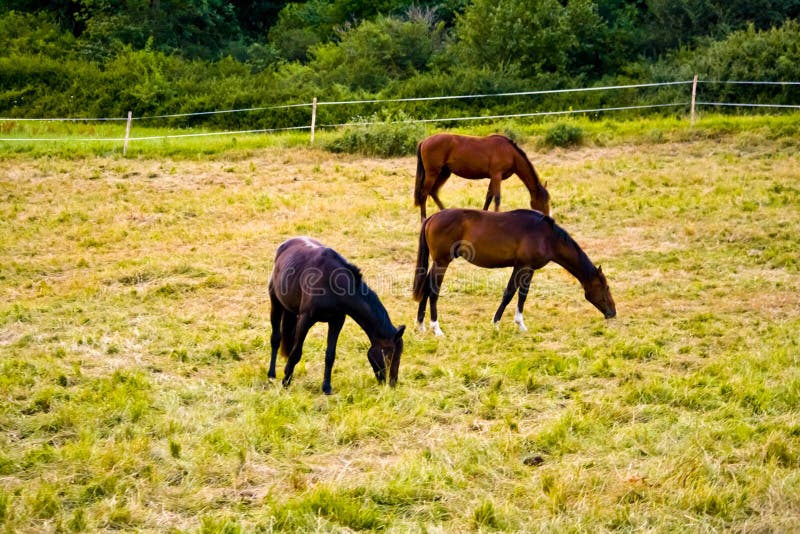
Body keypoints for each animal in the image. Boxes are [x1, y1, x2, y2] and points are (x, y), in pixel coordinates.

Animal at [269, 237, 405, 394]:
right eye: (390, 354)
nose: (392, 384)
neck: (333, 284)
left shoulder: (337, 321)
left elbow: (330, 355)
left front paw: (326, 387)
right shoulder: (306, 319)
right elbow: (296, 352)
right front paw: (285, 382)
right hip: (276, 304)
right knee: (275, 339)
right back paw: (271, 374)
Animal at [412, 209, 615, 336]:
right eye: (605, 288)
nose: (612, 312)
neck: (547, 236)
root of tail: (432, 217)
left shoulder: (527, 268)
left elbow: (519, 295)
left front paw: (518, 324)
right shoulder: (523, 267)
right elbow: (511, 293)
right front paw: (497, 324)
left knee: (426, 288)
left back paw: (421, 325)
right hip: (442, 263)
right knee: (433, 292)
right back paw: (436, 328)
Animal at [414, 133, 551, 222]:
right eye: (544, 202)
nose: (547, 217)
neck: (510, 153)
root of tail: (424, 141)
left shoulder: (493, 178)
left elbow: (488, 197)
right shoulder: (496, 175)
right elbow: (497, 198)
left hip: (444, 173)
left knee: (433, 192)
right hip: (433, 173)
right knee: (424, 193)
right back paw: (423, 219)